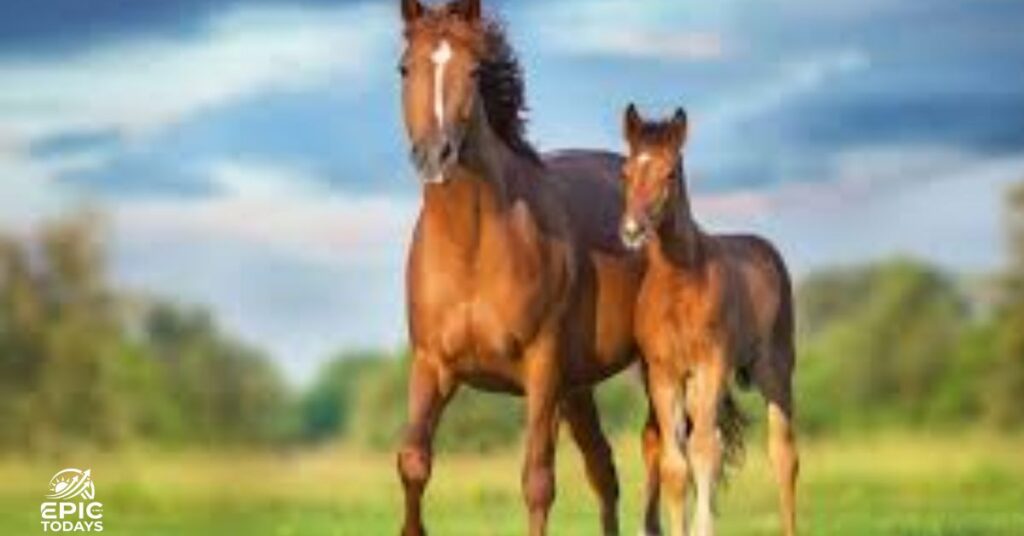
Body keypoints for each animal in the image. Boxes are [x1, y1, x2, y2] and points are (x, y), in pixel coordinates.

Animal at [395, 1, 662, 535]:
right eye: (404, 68)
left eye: (474, 71)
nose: (435, 155)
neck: (472, 248)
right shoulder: (432, 365)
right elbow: (414, 462)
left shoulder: (541, 368)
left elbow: (537, 482)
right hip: (577, 387)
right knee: (604, 471)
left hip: (645, 366)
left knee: (663, 451)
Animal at [617, 104, 800, 536]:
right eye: (625, 172)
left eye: (669, 173)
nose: (632, 231)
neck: (680, 284)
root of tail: (766, 250)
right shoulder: (664, 374)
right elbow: (675, 464)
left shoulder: (711, 364)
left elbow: (701, 452)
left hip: (774, 370)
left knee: (782, 454)